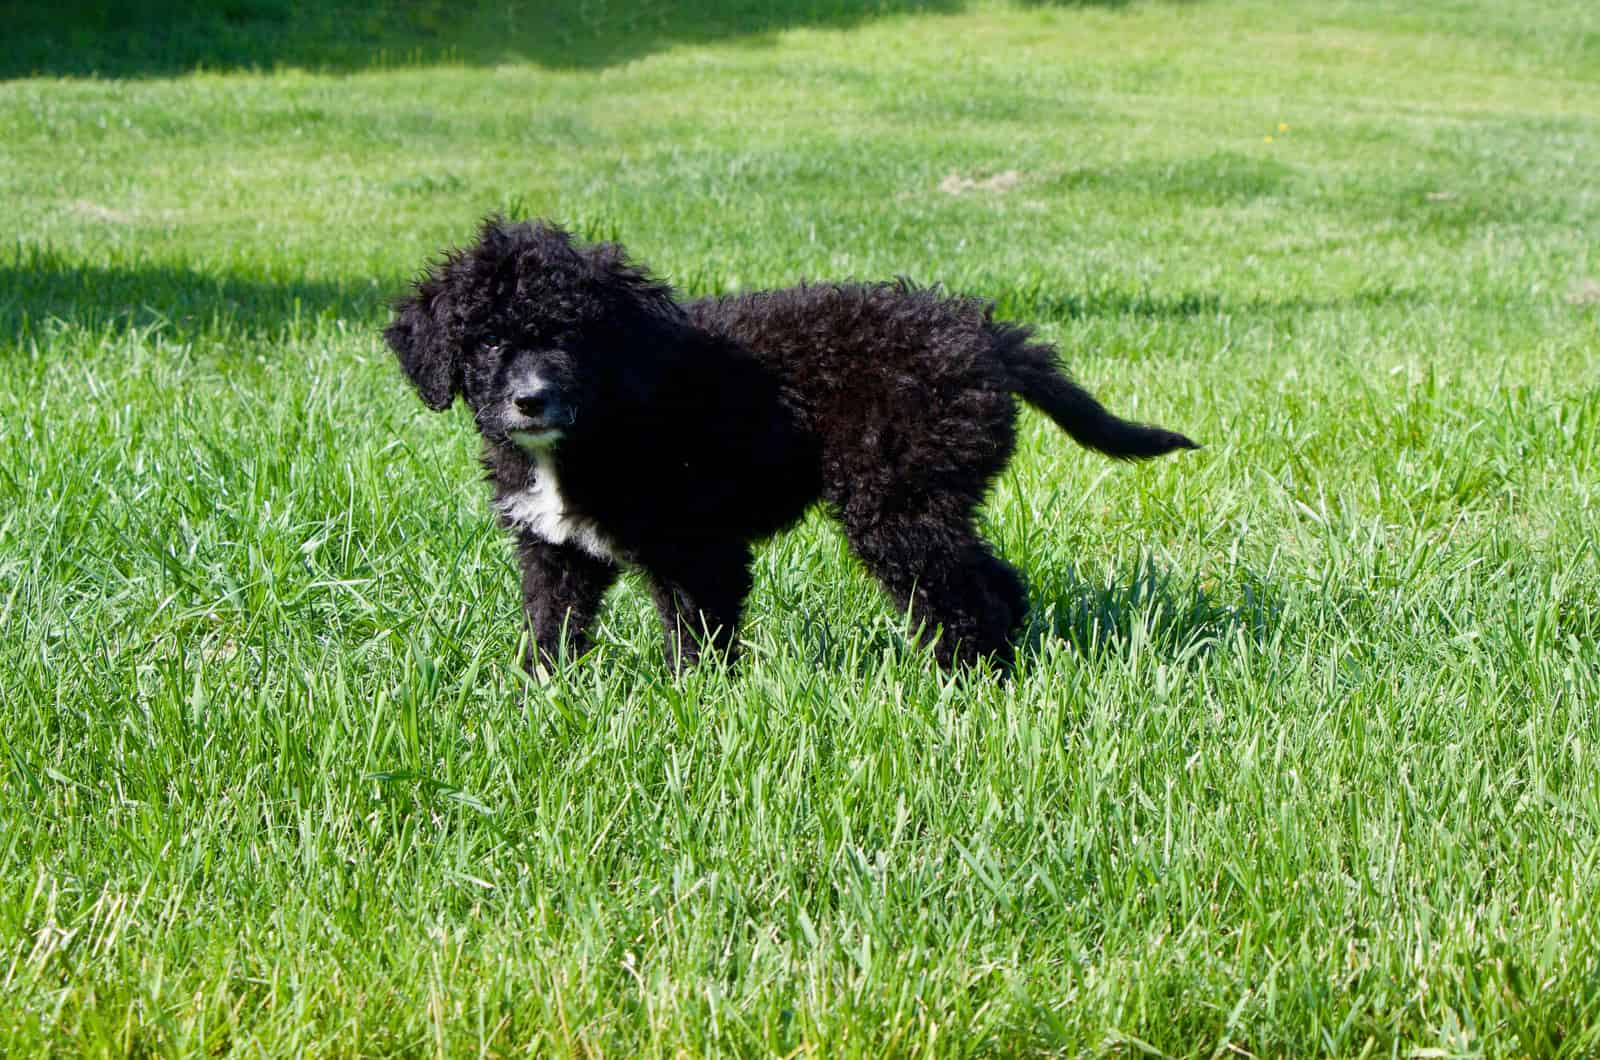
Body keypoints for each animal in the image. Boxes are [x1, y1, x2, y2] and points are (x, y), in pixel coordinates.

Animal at [380, 220, 1196, 672]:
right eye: (487, 342)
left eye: (573, 337)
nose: (531, 400)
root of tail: (982, 334)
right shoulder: (555, 546)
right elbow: (551, 627)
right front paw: (538, 698)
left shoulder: (697, 545)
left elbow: (698, 637)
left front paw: (694, 710)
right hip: (927, 498)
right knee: (995, 582)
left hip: (896, 500)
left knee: (964, 594)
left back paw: (963, 686)